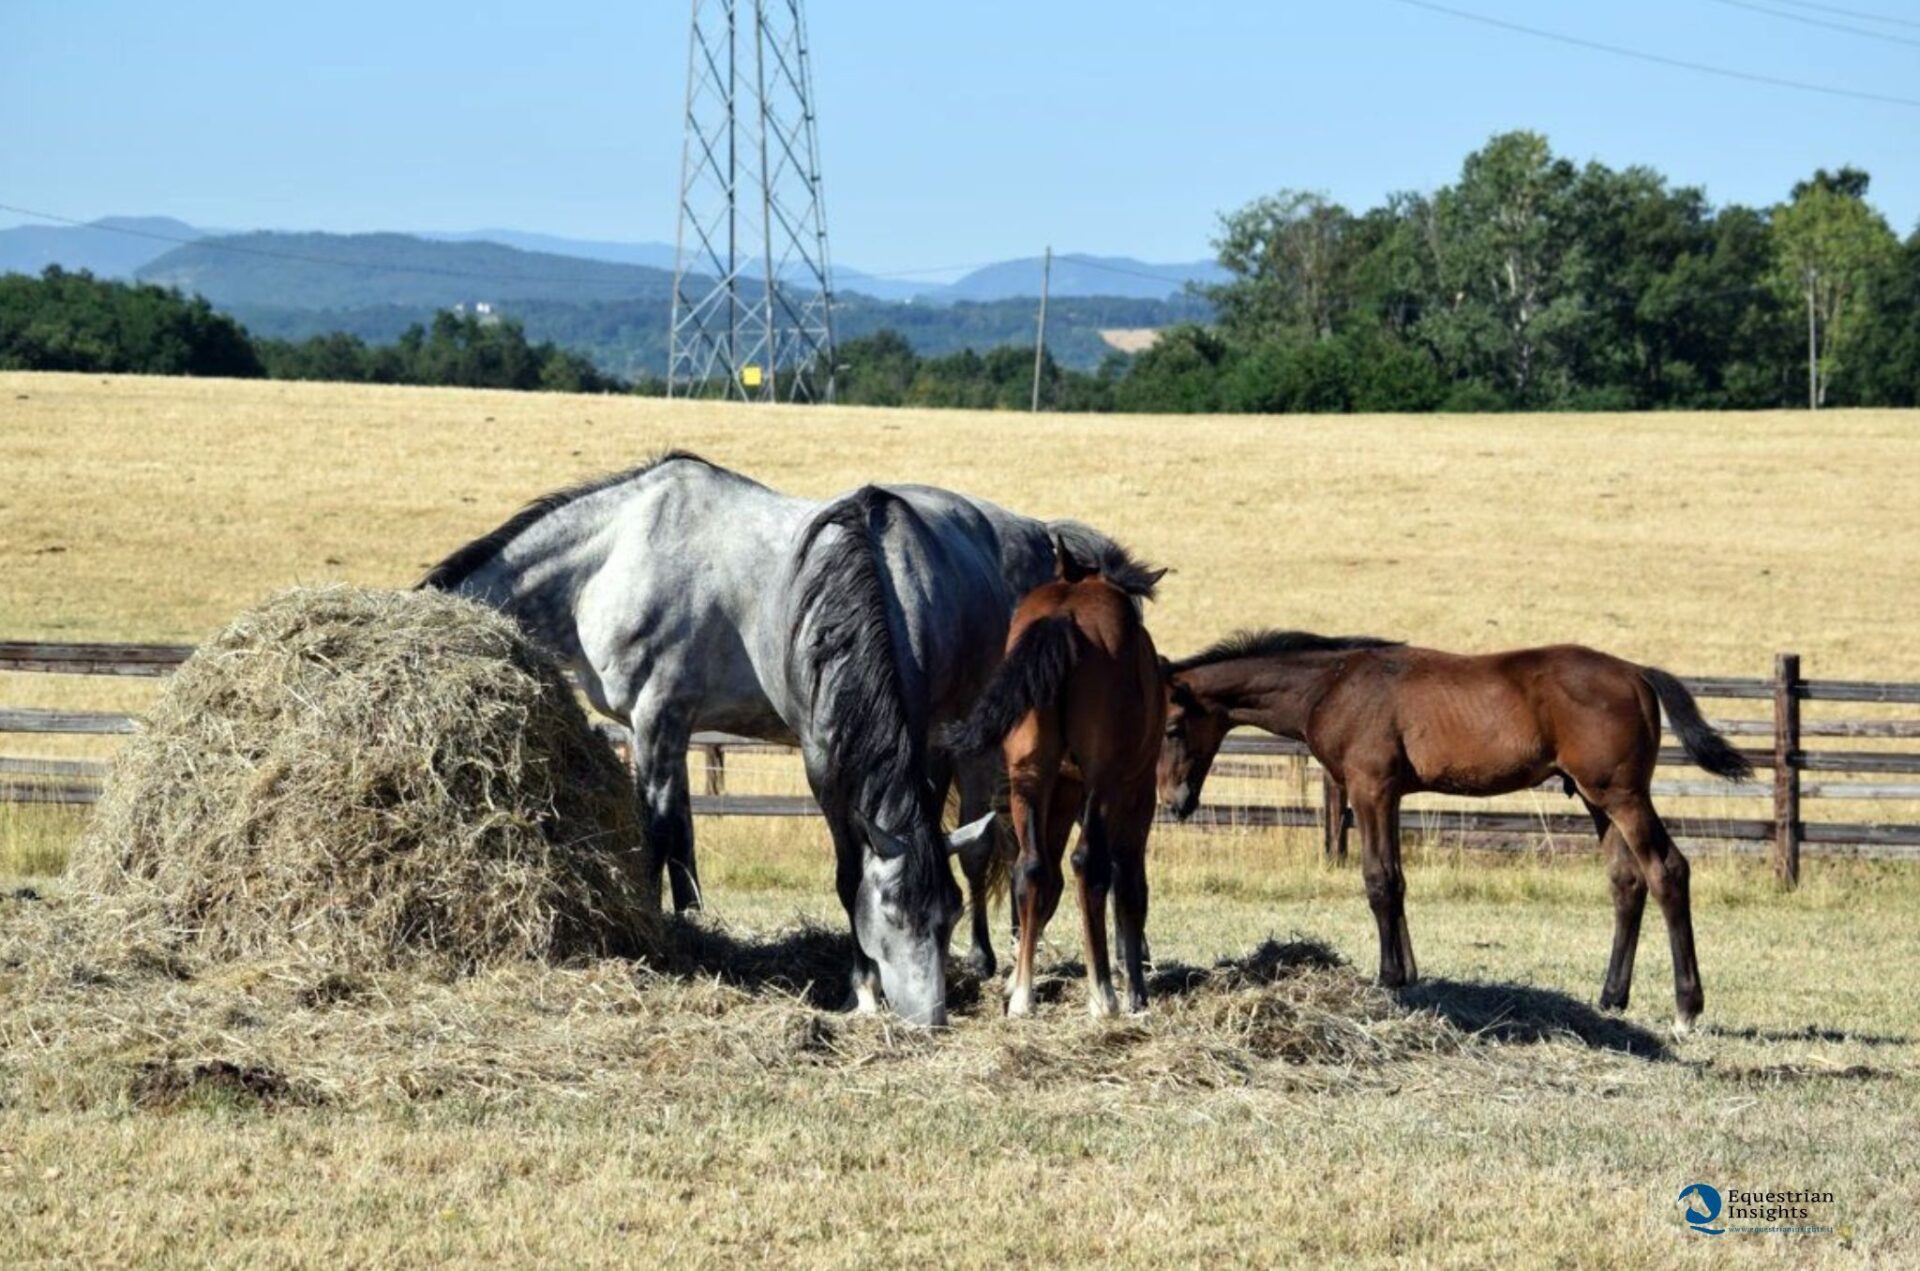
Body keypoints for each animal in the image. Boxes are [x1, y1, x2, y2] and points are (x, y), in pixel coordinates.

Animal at [939, 545, 1165, 1018]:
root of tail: (1064, 618)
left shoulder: (1061, 789)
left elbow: (1046, 880)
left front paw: (1013, 982)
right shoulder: (1135, 791)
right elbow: (1130, 885)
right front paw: (1135, 992)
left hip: (1029, 777)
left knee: (1032, 867)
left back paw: (1023, 995)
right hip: (1104, 783)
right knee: (1088, 864)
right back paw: (1102, 995)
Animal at [1157, 632, 1753, 1033]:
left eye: (1171, 726)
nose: (1174, 802)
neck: (1333, 685)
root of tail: (1635, 672)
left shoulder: (1369, 788)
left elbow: (1378, 880)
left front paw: (1388, 980)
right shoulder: (1391, 794)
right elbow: (1397, 880)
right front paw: (1409, 975)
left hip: (1622, 795)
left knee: (1667, 871)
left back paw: (1686, 1009)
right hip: (1594, 797)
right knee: (1626, 882)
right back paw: (1610, 999)